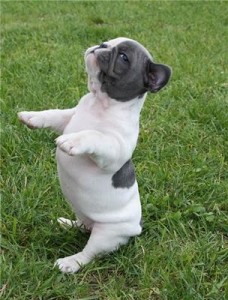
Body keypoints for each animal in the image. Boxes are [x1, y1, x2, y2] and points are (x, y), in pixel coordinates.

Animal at [18, 37, 171, 272]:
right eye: (108, 41)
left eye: (124, 57)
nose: (102, 45)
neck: (100, 102)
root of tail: (137, 227)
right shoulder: (69, 117)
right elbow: (55, 114)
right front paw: (32, 116)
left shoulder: (114, 149)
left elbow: (94, 135)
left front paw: (71, 142)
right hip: (83, 215)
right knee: (82, 225)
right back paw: (67, 223)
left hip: (107, 233)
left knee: (90, 253)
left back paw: (69, 263)